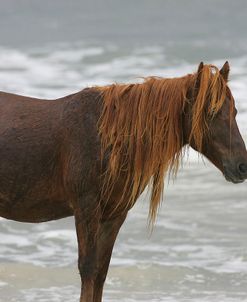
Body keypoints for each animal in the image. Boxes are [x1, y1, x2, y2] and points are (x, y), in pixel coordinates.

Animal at [0, 61, 247, 300]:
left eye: (234, 111)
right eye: (210, 112)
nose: (242, 166)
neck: (107, 138)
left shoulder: (114, 215)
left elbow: (101, 272)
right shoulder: (86, 209)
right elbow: (88, 269)